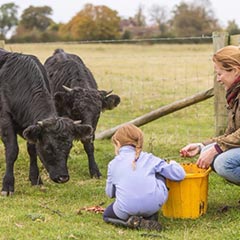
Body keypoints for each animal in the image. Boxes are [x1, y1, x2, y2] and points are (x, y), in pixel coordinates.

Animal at [0, 48, 93, 195]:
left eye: (69, 146)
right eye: (48, 147)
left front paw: (35, 179)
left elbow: (32, 149)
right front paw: (7, 185)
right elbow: (12, 150)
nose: (63, 177)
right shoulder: (5, 120)